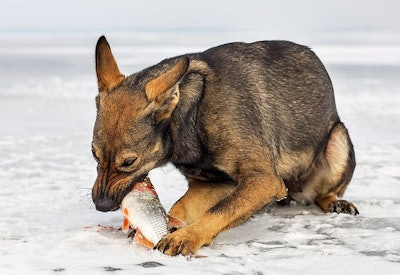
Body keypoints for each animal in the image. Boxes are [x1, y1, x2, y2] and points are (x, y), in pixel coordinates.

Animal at [91, 36, 360, 256]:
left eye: (129, 162)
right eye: (94, 155)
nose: (100, 205)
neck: (193, 112)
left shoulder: (264, 181)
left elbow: (221, 211)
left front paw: (187, 236)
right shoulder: (213, 183)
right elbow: (183, 206)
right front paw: (171, 224)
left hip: (338, 139)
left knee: (323, 192)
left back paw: (336, 202)